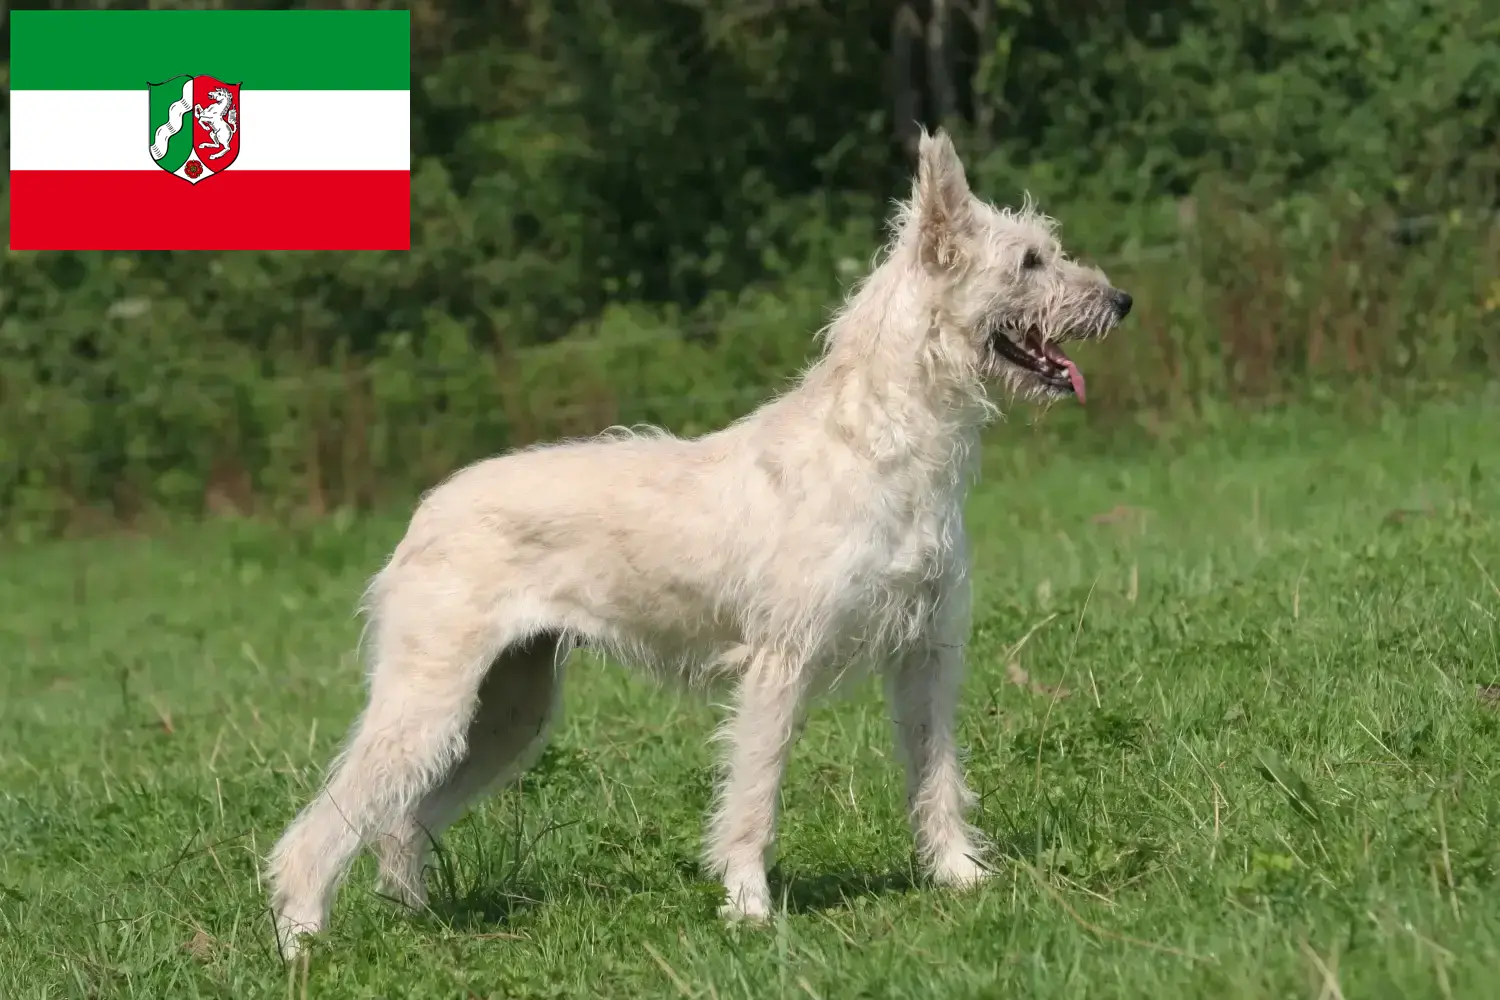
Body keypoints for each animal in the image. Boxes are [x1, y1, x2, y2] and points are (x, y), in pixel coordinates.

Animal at [267, 128, 1128, 959]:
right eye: (1029, 261)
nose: (1121, 300)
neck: (881, 440)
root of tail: (424, 514)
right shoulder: (779, 666)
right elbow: (754, 798)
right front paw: (748, 909)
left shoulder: (927, 656)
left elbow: (936, 775)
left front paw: (959, 877)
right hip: (429, 704)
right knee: (321, 828)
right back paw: (302, 941)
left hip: (507, 712)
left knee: (397, 824)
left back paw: (418, 922)